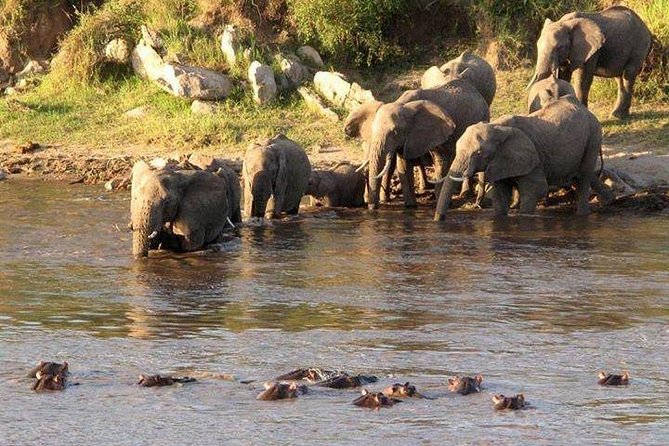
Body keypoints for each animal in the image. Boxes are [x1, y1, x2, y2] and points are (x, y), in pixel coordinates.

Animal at [365, 78, 490, 209]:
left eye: (394, 132)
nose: (373, 208)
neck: (403, 105)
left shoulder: (437, 129)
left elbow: (441, 160)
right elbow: (404, 165)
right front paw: (411, 207)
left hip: (482, 116)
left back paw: (466, 195)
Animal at [434, 95, 613, 220]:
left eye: (478, 153)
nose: (440, 219)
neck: (496, 127)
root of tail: (587, 110)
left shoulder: (531, 156)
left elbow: (535, 189)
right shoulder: (501, 159)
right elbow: (500, 193)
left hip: (593, 136)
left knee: (583, 177)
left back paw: (584, 214)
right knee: (579, 176)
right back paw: (610, 200)